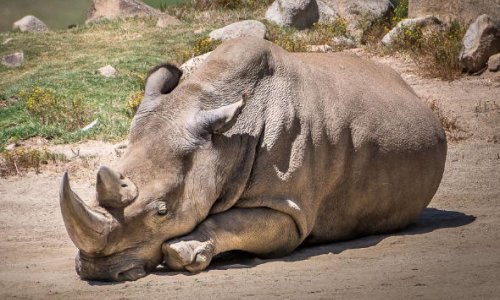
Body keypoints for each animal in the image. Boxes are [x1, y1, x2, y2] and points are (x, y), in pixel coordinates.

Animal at [58, 37, 446, 282]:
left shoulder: (288, 209)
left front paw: (184, 252)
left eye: (162, 212)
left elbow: (236, 223)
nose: (97, 272)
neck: (223, 144)